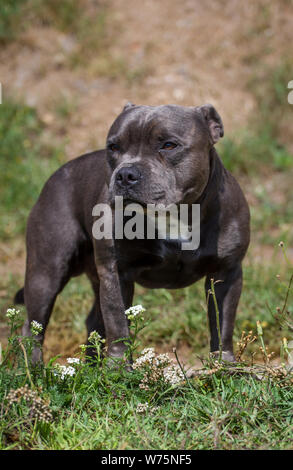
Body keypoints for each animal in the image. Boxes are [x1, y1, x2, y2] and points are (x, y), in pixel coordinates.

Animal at [14, 103, 249, 364]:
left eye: (169, 145)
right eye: (114, 147)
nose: (125, 174)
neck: (174, 216)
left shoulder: (226, 272)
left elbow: (222, 324)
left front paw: (225, 365)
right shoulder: (117, 273)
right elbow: (118, 324)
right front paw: (119, 369)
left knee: (93, 322)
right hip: (46, 272)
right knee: (33, 326)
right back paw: (35, 370)